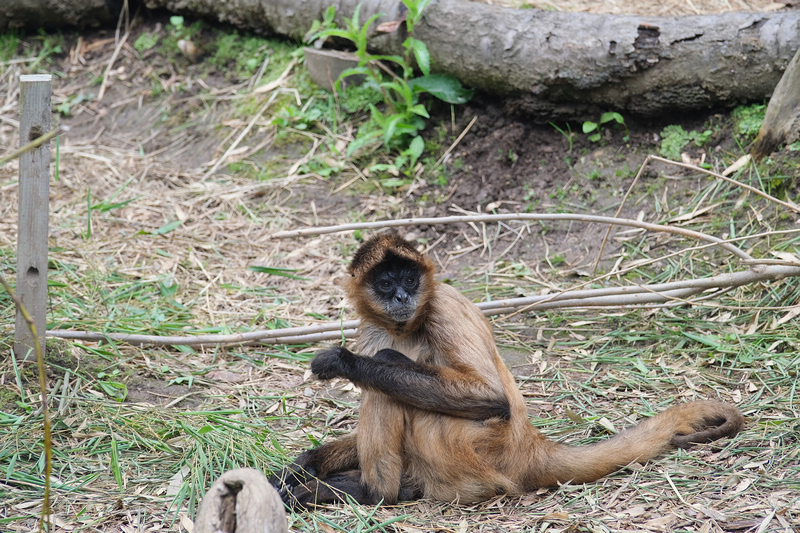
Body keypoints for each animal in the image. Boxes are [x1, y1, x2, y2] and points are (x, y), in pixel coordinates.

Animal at [272, 234, 748, 508]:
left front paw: (344, 362)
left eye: (409, 278)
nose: (403, 297)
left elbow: (490, 397)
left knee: (385, 381)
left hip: (469, 446)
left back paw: (377, 493)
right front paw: (307, 463)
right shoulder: (372, 327)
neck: (405, 324)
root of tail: (528, 445)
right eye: (386, 284)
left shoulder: (442, 307)